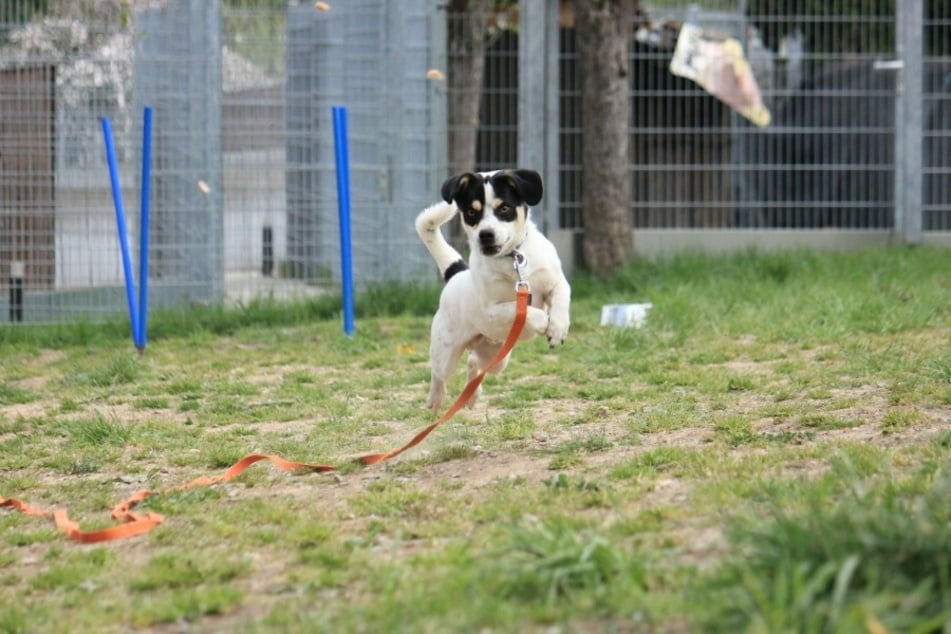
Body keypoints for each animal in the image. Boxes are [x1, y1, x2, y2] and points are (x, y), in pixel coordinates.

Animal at [412, 169, 568, 414]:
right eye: (471, 212)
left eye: (504, 208)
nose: (485, 235)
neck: (513, 259)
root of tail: (455, 276)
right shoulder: (492, 310)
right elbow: (524, 310)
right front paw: (544, 321)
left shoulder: (556, 281)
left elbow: (562, 297)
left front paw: (557, 329)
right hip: (445, 353)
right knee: (439, 374)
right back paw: (435, 399)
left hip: (496, 356)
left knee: (474, 363)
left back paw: (472, 395)